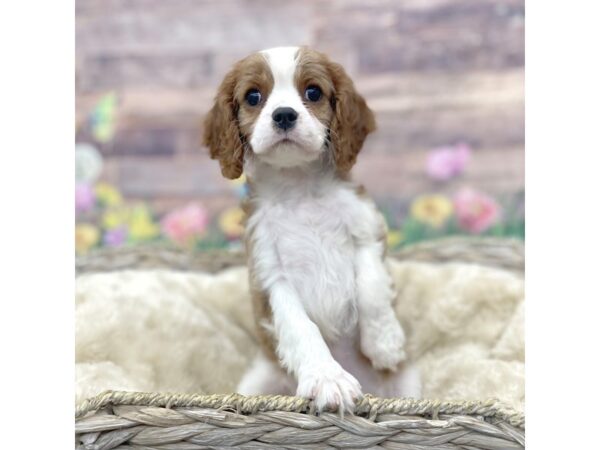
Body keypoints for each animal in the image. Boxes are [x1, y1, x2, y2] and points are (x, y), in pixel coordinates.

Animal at [204, 47, 420, 414]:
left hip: (410, 386)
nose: (284, 115)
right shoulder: (270, 276)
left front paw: (385, 343)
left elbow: (372, 287)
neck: (299, 186)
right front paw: (328, 379)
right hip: (256, 381)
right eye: (253, 97)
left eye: (313, 92)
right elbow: (301, 327)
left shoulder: (367, 231)